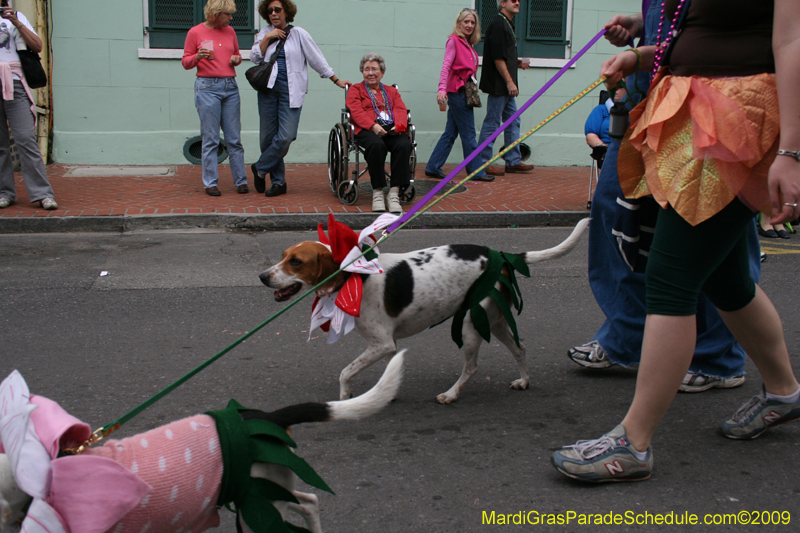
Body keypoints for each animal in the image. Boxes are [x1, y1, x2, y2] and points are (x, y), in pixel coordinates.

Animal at [260, 219, 588, 404]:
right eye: (283, 256)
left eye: (296, 262)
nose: (262, 277)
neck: (356, 275)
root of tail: (501, 255)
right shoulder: (387, 346)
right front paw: (386, 394)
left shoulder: (381, 344)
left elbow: (345, 372)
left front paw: (345, 397)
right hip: (493, 321)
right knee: (520, 349)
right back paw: (524, 381)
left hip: (471, 324)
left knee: (472, 367)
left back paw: (451, 394)